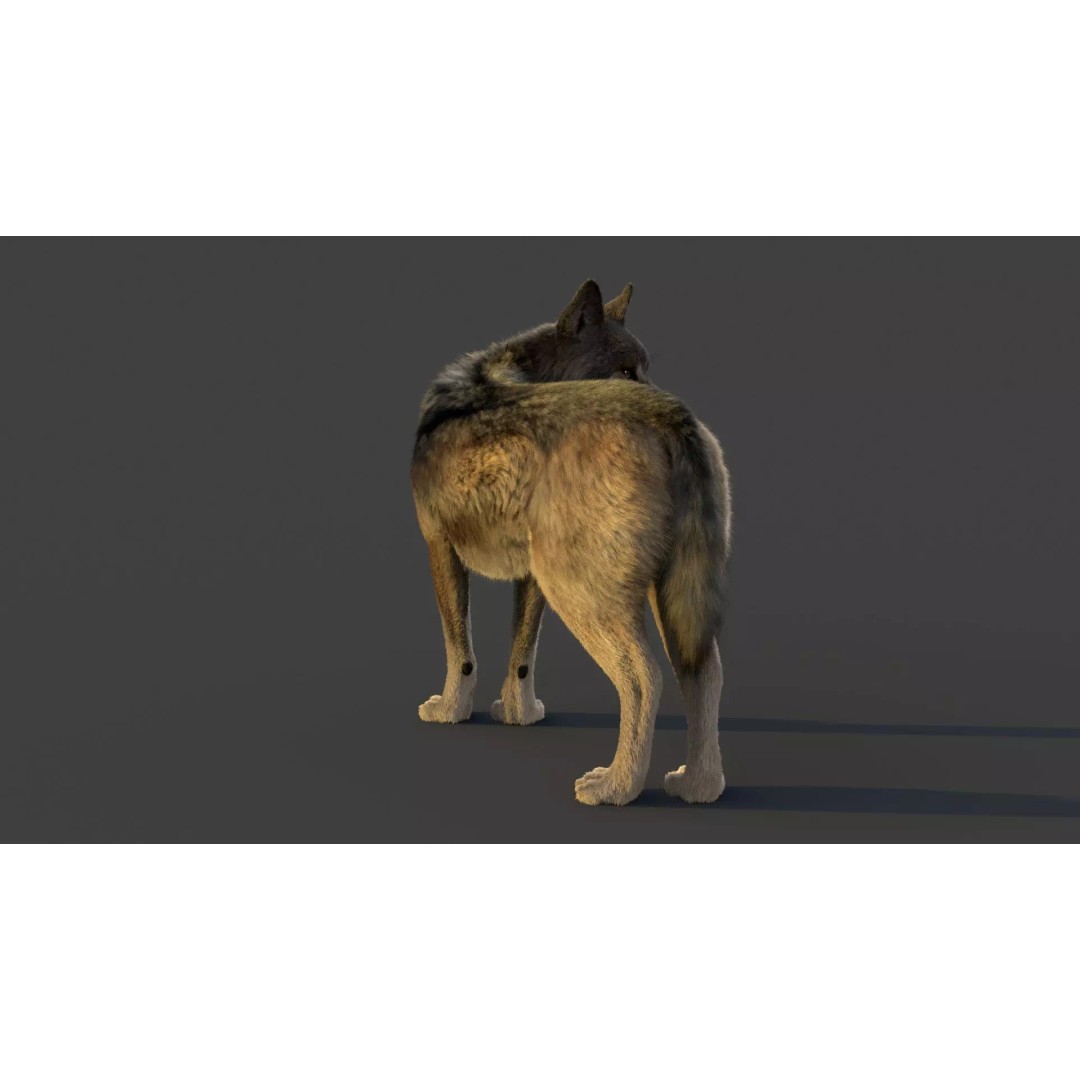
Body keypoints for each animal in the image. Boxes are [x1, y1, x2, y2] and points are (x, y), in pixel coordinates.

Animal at [410, 280, 732, 806]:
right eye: (627, 371)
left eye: (643, 369)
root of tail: (669, 416)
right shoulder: (529, 577)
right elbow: (521, 657)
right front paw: (520, 715)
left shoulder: (439, 548)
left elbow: (460, 652)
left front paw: (448, 712)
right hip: (670, 598)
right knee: (704, 673)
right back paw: (697, 786)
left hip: (583, 597)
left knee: (643, 680)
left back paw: (615, 787)